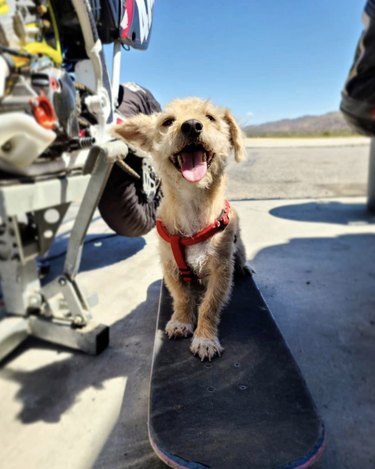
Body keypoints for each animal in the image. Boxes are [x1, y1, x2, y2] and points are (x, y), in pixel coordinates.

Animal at [116, 95, 248, 358]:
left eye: (210, 117)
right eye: (167, 121)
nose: (192, 126)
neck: (192, 206)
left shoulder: (221, 270)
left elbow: (209, 305)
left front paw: (205, 338)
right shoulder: (170, 266)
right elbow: (182, 297)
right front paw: (181, 321)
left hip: (240, 247)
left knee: (241, 257)